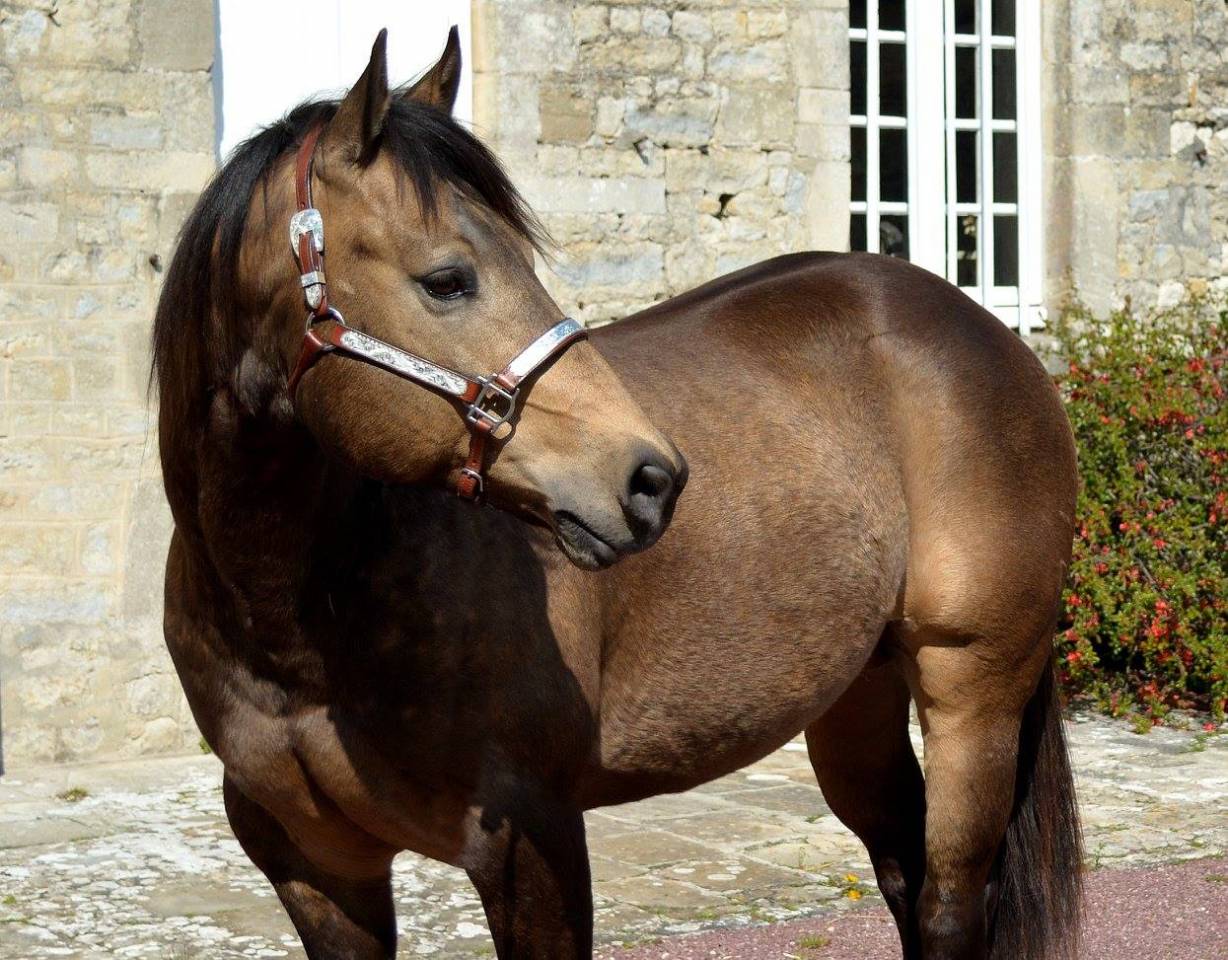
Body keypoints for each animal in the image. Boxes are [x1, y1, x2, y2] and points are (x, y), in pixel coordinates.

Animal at [153, 28, 1081, 960]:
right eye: (448, 279)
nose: (652, 479)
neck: (301, 625)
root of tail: (983, 327)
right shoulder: (317, 870)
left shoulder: (532, 843)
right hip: (858, 694)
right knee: (902, 874)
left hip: (971, 692)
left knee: (949, 904)